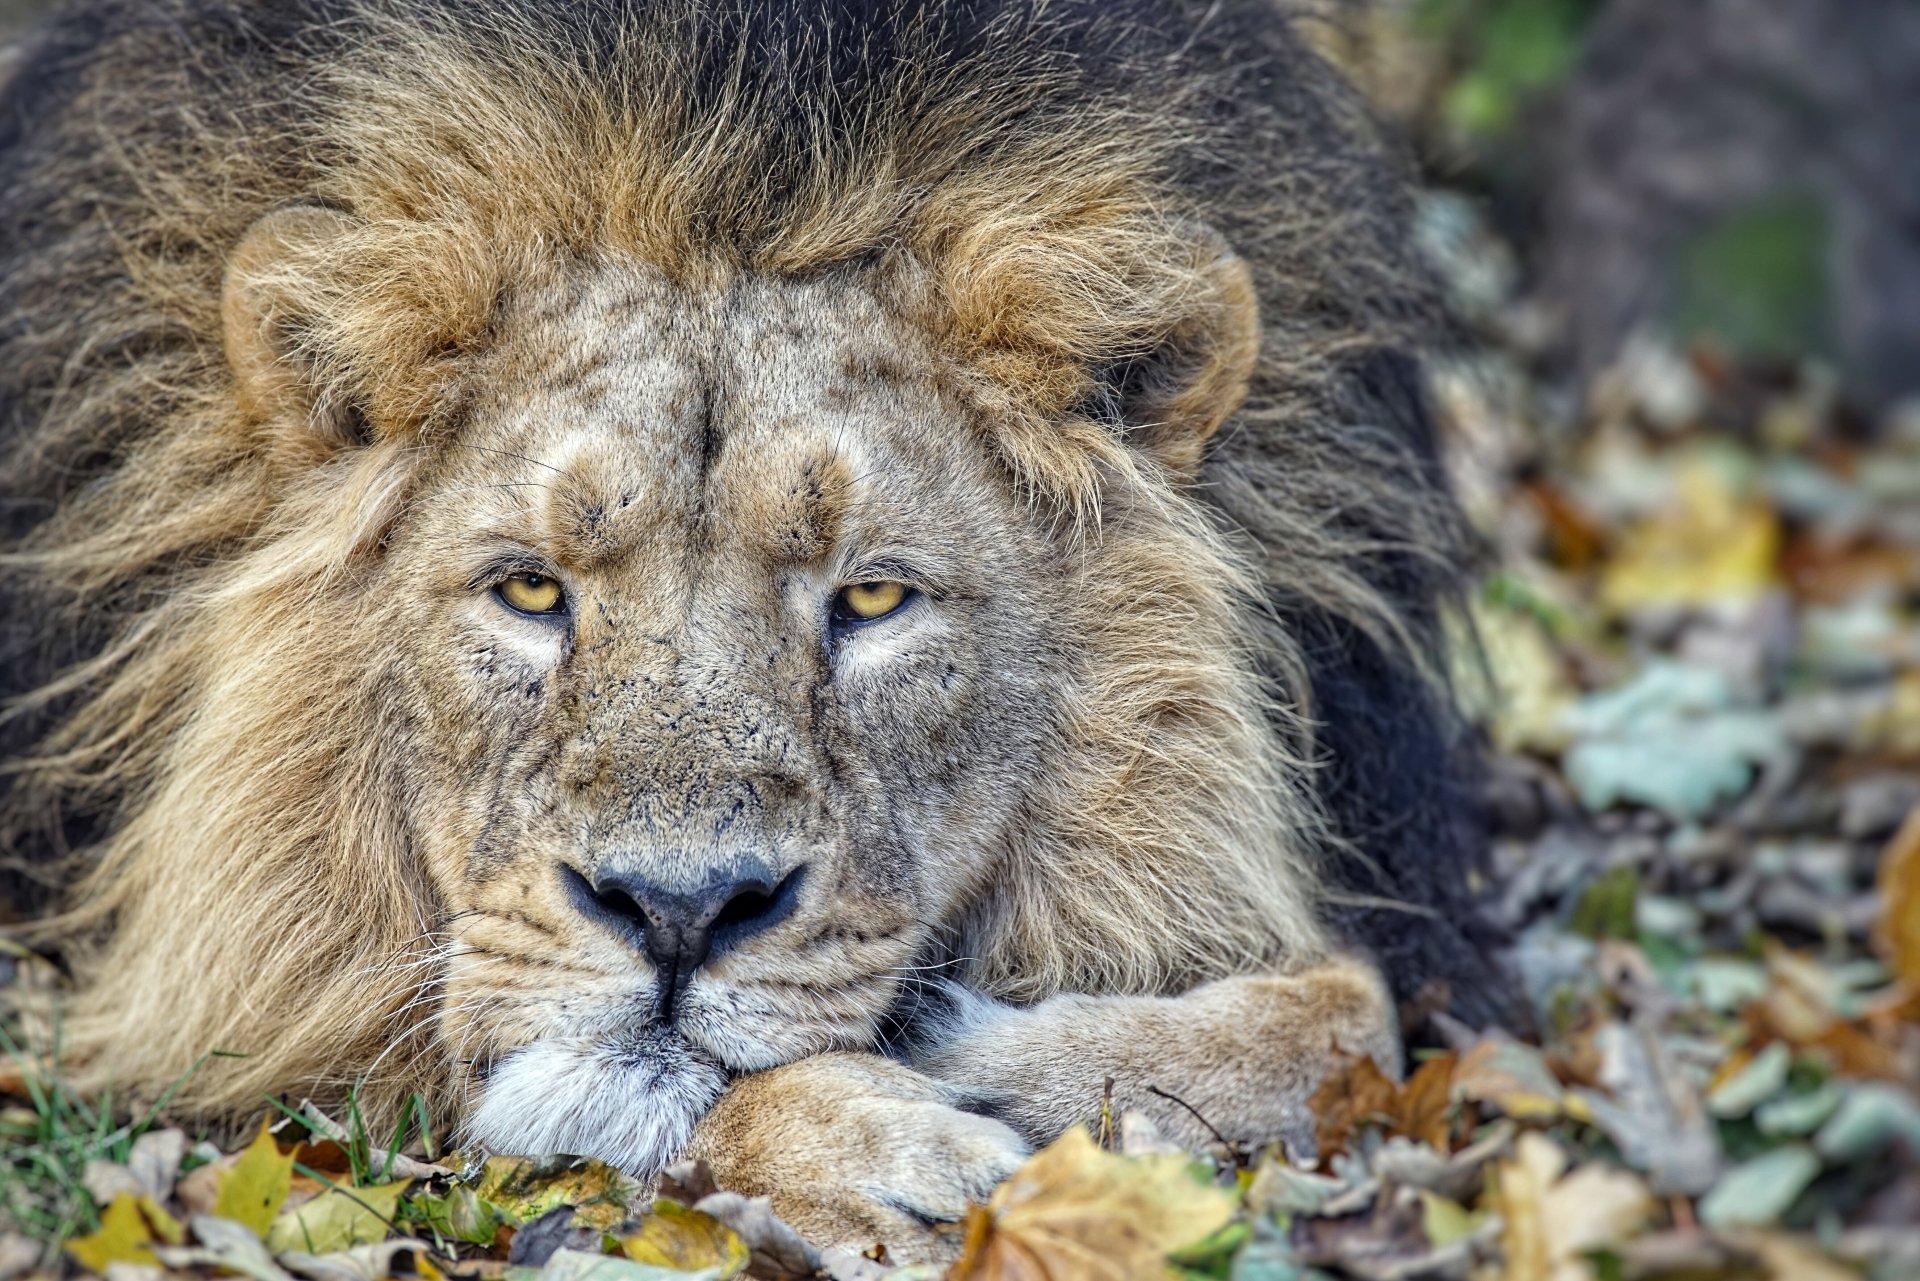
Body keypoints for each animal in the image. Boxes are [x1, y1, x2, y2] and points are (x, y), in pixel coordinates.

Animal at [0, 0, 1513, 1257]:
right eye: (531, 591)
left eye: (873, 599)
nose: (677, 913)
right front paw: (891, 1143)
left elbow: (1357, 1010)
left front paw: (1003, 1071)